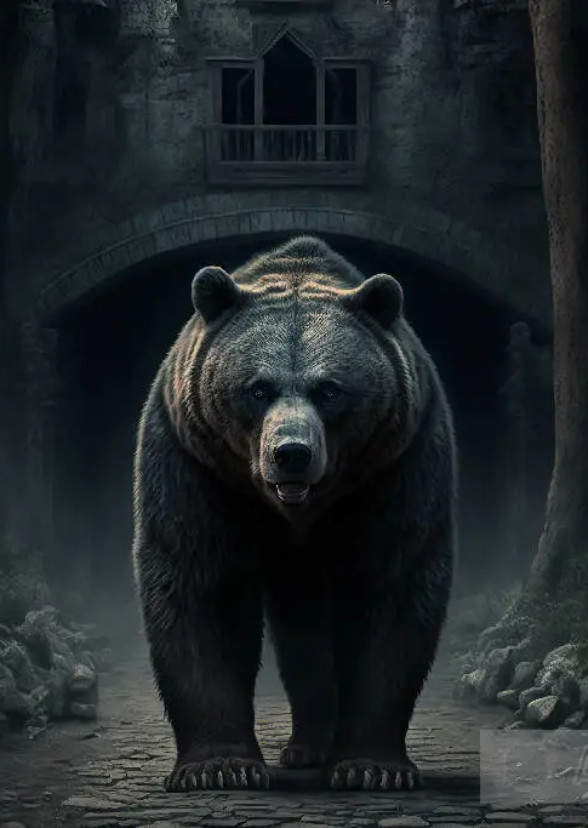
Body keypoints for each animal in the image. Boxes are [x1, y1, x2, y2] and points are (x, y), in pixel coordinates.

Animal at [132, 235, 457, 793]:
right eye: (257, 388)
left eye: (329, 389)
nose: (291, 453)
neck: (297, 511)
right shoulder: (198, 466)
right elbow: (203, 587)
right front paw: (219, 766)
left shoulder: (397, 466)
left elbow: (392, 587)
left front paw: (372, 766)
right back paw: (308, 746)